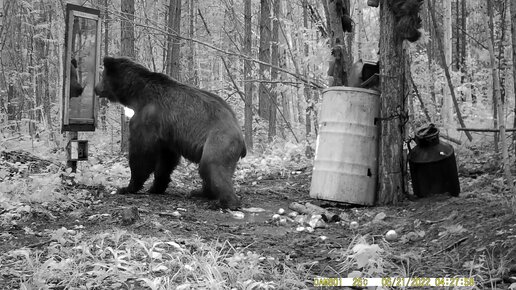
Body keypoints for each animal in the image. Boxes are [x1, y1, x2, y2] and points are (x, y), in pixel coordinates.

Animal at [95, 56, 248, 208]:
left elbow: (142, 153)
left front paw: (126, 187)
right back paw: (199, 192)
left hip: (219, 141)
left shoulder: (148, 117)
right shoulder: (166, 133)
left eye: (102, 76)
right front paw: (156, 187)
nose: (96, 88)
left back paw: (225, 202)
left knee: (211, 166)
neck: (136, 94)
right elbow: (166, 160)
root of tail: (241, 136)